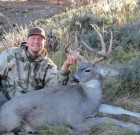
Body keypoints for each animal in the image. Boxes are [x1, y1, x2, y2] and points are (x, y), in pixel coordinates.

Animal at [0, 24, 140, 134]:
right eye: (78, 67)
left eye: (87, 70)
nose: (73, 78)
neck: (89, 99)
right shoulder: (76, 121)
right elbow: (108, 119)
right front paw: (135, 127)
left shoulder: (96, 107)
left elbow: (117, 109)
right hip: (12, 120)